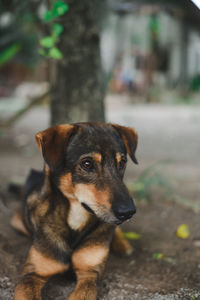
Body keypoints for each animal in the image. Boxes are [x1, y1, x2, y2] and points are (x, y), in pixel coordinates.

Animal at [11, 122, 139, 300]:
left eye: (122, 163)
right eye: (87, 164)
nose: (128, 212)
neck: (76, 219)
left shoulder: (89, 274)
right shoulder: (32, 275)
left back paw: (122, 245)